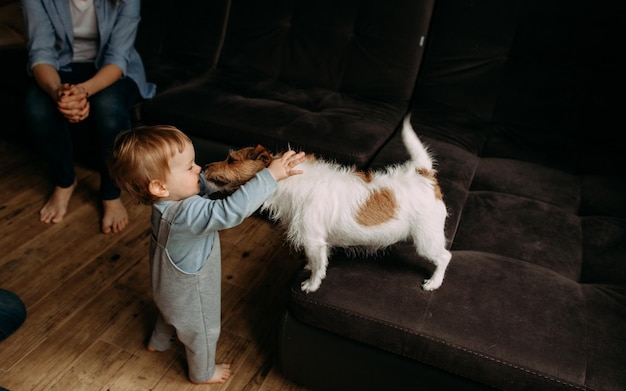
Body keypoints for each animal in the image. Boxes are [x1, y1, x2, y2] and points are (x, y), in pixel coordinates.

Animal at [204, 116, 448, 294]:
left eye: (231, 160)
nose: (205, 166)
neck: (286, 180)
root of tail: (424, 174)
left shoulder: (313, 240)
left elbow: (319, 266)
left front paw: (312, 284)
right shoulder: (318, 242)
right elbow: (317, 261)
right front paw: (310, 267)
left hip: (426, 239)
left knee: (445, 257)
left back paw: (434, 283)